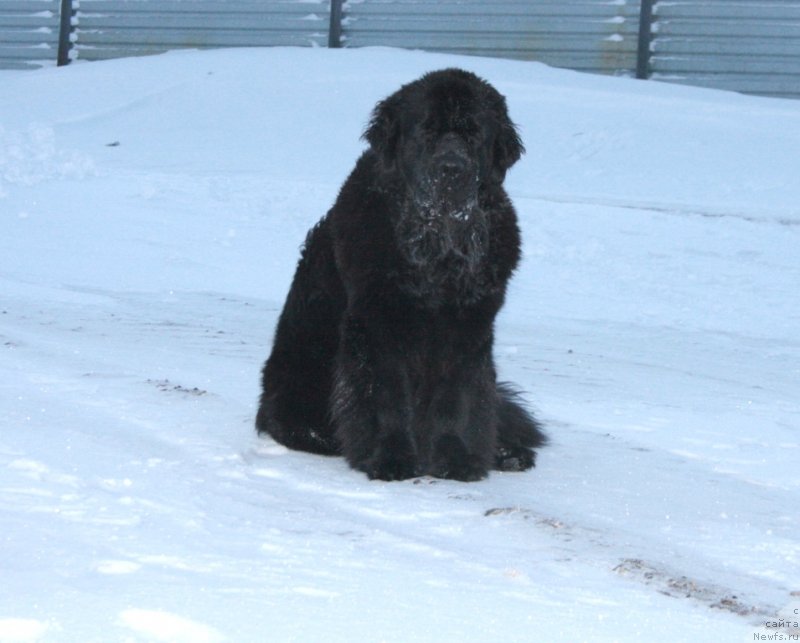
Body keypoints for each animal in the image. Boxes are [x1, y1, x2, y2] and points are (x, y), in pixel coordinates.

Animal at [256, 69, 544, 484]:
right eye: (426, 131)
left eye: (474, 134)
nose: (452, 169)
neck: (437, 255)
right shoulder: (378, 324)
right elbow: (386, 398)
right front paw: (389, 459)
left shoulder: (467, 328)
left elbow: (457, 399)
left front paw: (455, 460)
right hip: (297, 376)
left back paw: (507, 453)